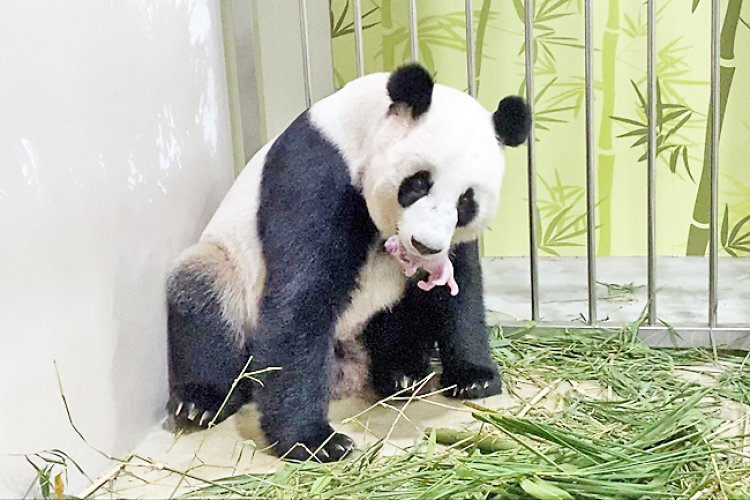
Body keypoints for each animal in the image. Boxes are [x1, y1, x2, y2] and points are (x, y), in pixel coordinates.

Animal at [166, 64, 530, 462]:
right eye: (419, 183)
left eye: (466, 201)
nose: (424, 244)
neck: (360, 128)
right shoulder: (316, 173)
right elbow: (302, 296)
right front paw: (316, 441)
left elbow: (460, 289)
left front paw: (474, 377)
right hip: (227, 268)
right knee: (204, 297)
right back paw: (201, 401)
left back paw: (401, 372)